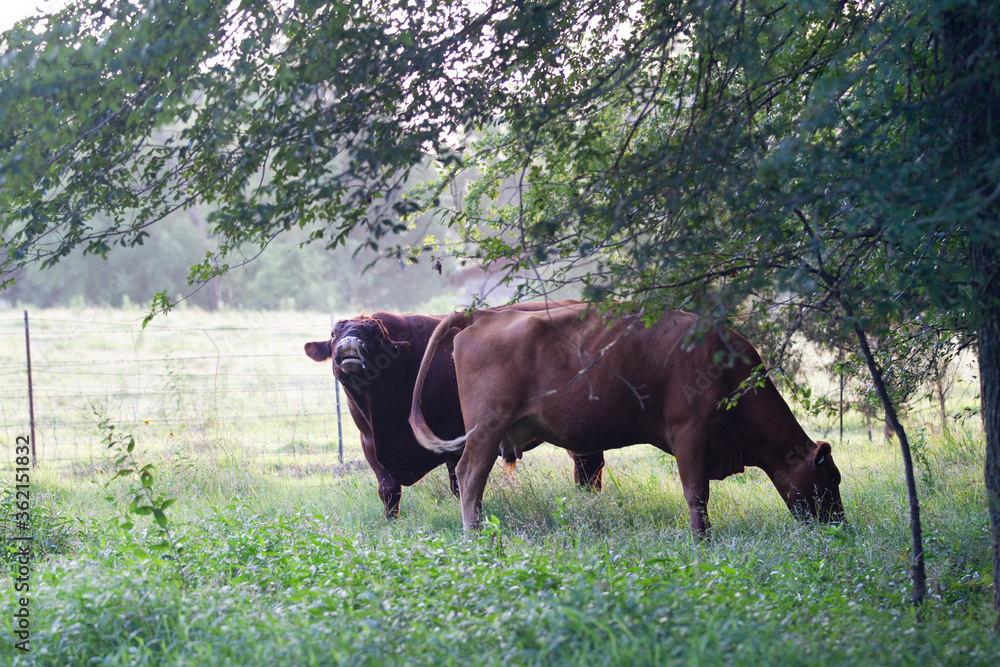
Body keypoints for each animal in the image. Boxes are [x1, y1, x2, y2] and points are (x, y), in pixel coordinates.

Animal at [302, 306, 600, 520]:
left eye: (376, 335)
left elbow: (460, 485)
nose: (350, 343)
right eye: (334, 334)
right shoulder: (370, 445)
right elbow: (388, 490)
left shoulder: (456, 441)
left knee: (589, 466)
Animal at [410, 306, 848, 540]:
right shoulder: (689, 432)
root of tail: (482, 315)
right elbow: (697, 494)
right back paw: (474, 534)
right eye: (833, 478)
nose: (841, 526)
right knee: (469, 475)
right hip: (485, 430)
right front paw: (702, 542)